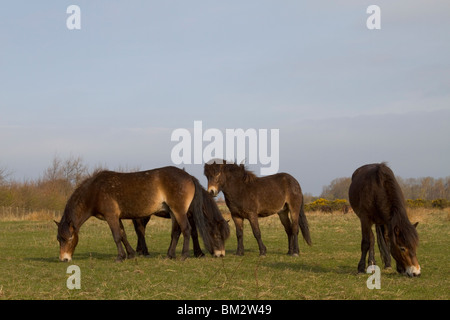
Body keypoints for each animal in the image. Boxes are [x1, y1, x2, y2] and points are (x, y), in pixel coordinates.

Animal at [57, 166, 229, 262]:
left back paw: (184, 255)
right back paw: (169, 255)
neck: (95, 190)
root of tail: (189, 177)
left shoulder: (111, 216)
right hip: (174, 213)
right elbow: (123, 235)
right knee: (175, 232)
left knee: (186, 230)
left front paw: (120, 257)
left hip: (179, 211)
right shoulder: (117, 217)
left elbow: (117, 236)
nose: (64, 259)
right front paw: (131, 254)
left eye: (69, 238)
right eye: (59, 239)